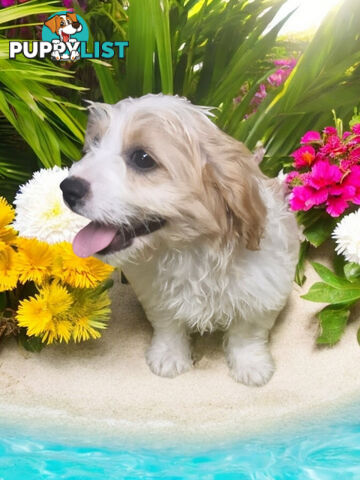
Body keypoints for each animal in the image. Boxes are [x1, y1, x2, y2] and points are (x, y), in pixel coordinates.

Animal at [60, 94, 300, 386]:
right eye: (92, 145)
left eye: (142, 158)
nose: (68, 188)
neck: (190, 249)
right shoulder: (156, 294)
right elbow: (168, 324)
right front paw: (169, 356)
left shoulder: (264, 292)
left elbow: (247, 334)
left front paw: (250, 365)